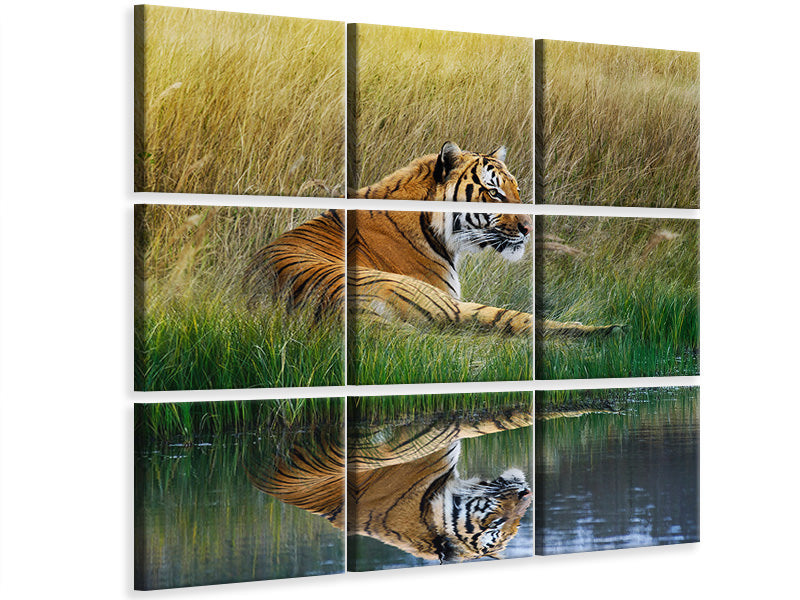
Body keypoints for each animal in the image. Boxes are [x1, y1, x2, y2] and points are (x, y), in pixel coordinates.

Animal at [246, 141, 623, 337]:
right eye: (494, 192)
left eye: (517, 189)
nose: (529, 229)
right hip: (437, 301)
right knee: (516, 319)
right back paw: (609, 329)